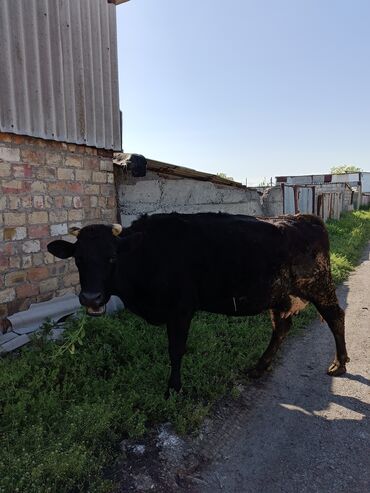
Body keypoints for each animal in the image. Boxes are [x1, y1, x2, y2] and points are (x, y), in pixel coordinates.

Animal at [47, 213, 348, 394]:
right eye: (78, 259)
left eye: (112, 257)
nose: (91, 298)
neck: (147, 254)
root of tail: (304, 217)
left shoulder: (180, 310)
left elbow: (176, 350)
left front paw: (174, 388)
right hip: (279, 296)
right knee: (281, 328)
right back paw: (259, 367)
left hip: (319, 285)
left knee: (335, 317)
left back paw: (340, 363)